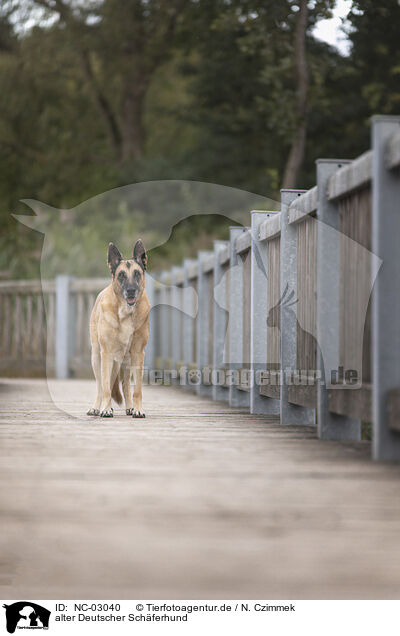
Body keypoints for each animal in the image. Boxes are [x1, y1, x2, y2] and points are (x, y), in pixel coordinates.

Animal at [86, 238, 149, 418]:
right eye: (121, 275)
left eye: (137, 273)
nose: (131, 291)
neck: (126, 313)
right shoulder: (106, 354)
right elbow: (106, 387)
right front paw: (106, 409)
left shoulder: (138, 354)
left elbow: (137, 390)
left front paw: (138, 409)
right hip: (96, 357)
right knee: (101, 385)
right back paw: (96, 407)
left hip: (126, 362)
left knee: (126, 385)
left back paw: (130, 407)